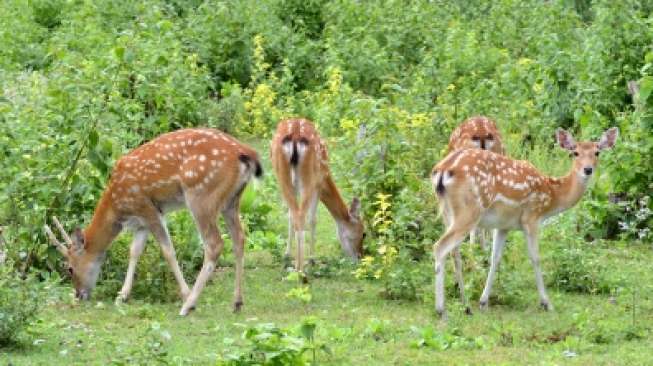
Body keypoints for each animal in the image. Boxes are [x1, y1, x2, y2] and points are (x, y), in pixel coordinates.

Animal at [43, 128, 264, 314]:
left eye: (70, 268)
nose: (79, 295)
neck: (117, 205)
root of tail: (246, 153)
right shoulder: (142, 221)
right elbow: (134, 251)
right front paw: (122, 295)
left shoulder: (147, 208)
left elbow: (167, 251)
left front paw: (184, 293)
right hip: (232, 200)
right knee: (239, 238)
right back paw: (237, 302)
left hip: (201, 195)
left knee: (214, 244)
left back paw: (188, 305)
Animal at [268, 118, 364, 278]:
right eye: (364, 233)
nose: (360, 257)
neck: (326, 180)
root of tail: (295, 135)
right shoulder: (317, 184)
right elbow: (313, 220)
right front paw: (312, 259)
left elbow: (289, 217)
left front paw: (287, 255)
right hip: (309, 175)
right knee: (301, 216)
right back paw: (301, 269)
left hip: (281, 174)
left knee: (295, 215)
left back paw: (294, 266)